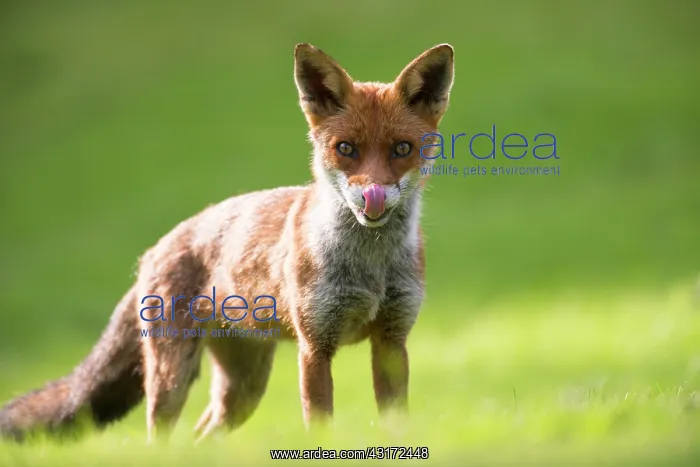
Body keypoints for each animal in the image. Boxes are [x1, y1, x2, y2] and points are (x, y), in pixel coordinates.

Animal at [0, 42, 454, 442]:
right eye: (346, 148)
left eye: (402, 149)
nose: (371, 196)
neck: (370, 267)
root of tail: (153, 250)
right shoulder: (315, 347)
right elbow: (321, 427)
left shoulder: (392, 342)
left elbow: (396, 421)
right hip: (173, 379)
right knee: (160, 439)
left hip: (242, 391)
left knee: (202, 437)